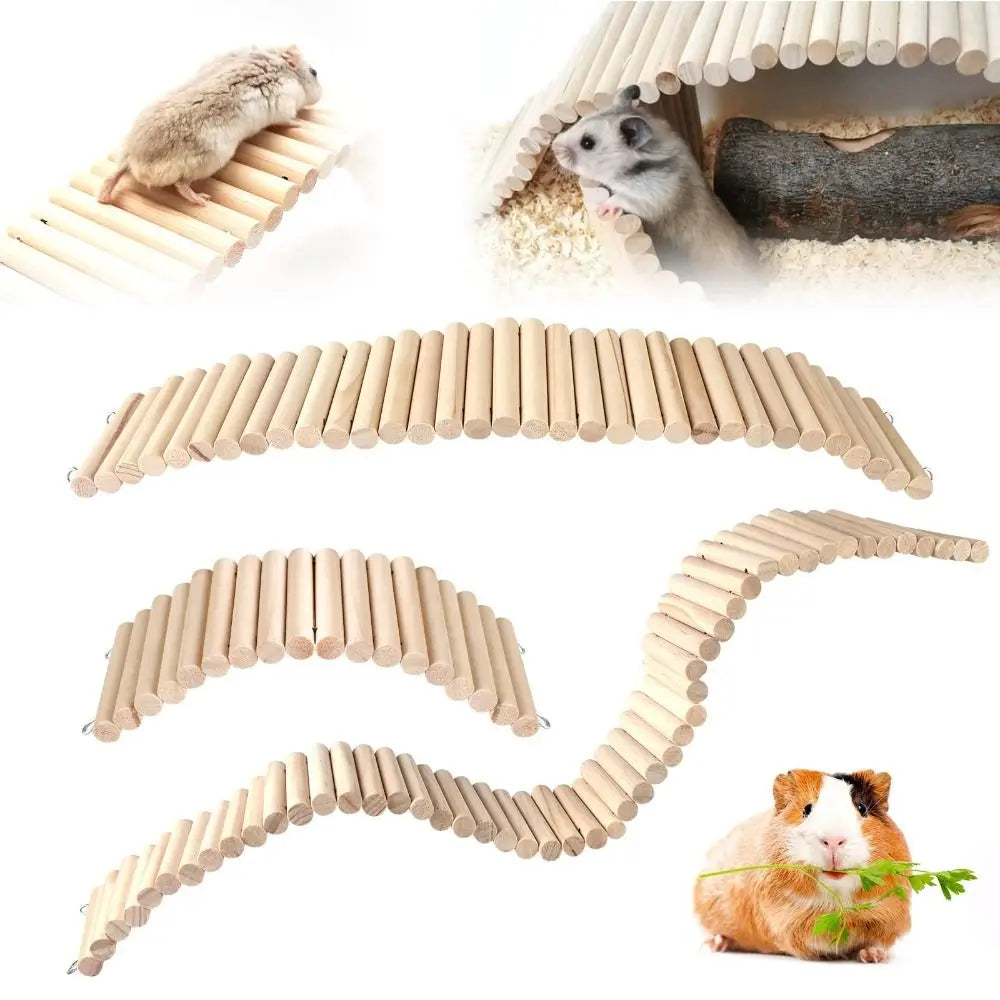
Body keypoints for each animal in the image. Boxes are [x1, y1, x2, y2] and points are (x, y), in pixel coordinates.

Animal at [98, 46, 323, 207]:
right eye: (314, 72)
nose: (322, 94)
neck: (276, 61)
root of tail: (133, 158)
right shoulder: (285, 106)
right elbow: (289, 120)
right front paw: (301, 123)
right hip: (209, 161)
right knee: (181, 185)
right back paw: (202, 200)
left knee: (113, 174)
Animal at [694, 769, 911, 963]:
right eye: (806, 809)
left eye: (862, 808)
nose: (834, 841)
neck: (837, 903)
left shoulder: (888, 916)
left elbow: (875, 942)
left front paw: (873, 956)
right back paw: (713, 945)